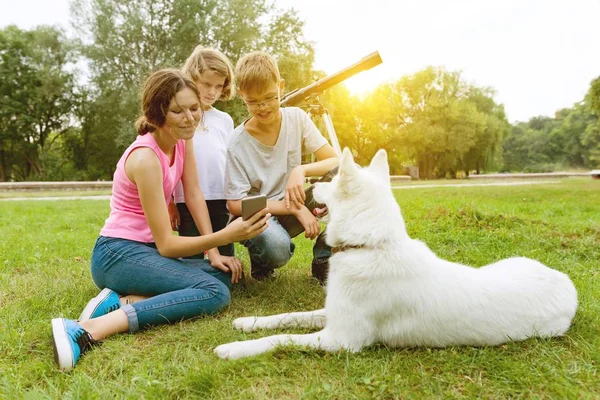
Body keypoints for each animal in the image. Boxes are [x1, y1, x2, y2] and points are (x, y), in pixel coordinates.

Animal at [214, 148, 576, 360]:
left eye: (332, 184)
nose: (313, 185)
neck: (370, 247)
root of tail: (567, 284)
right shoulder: (331, 313)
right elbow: (288, 317)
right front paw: (249, 322)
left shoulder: (339, 339)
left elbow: (282, 338)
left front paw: (234, 348)